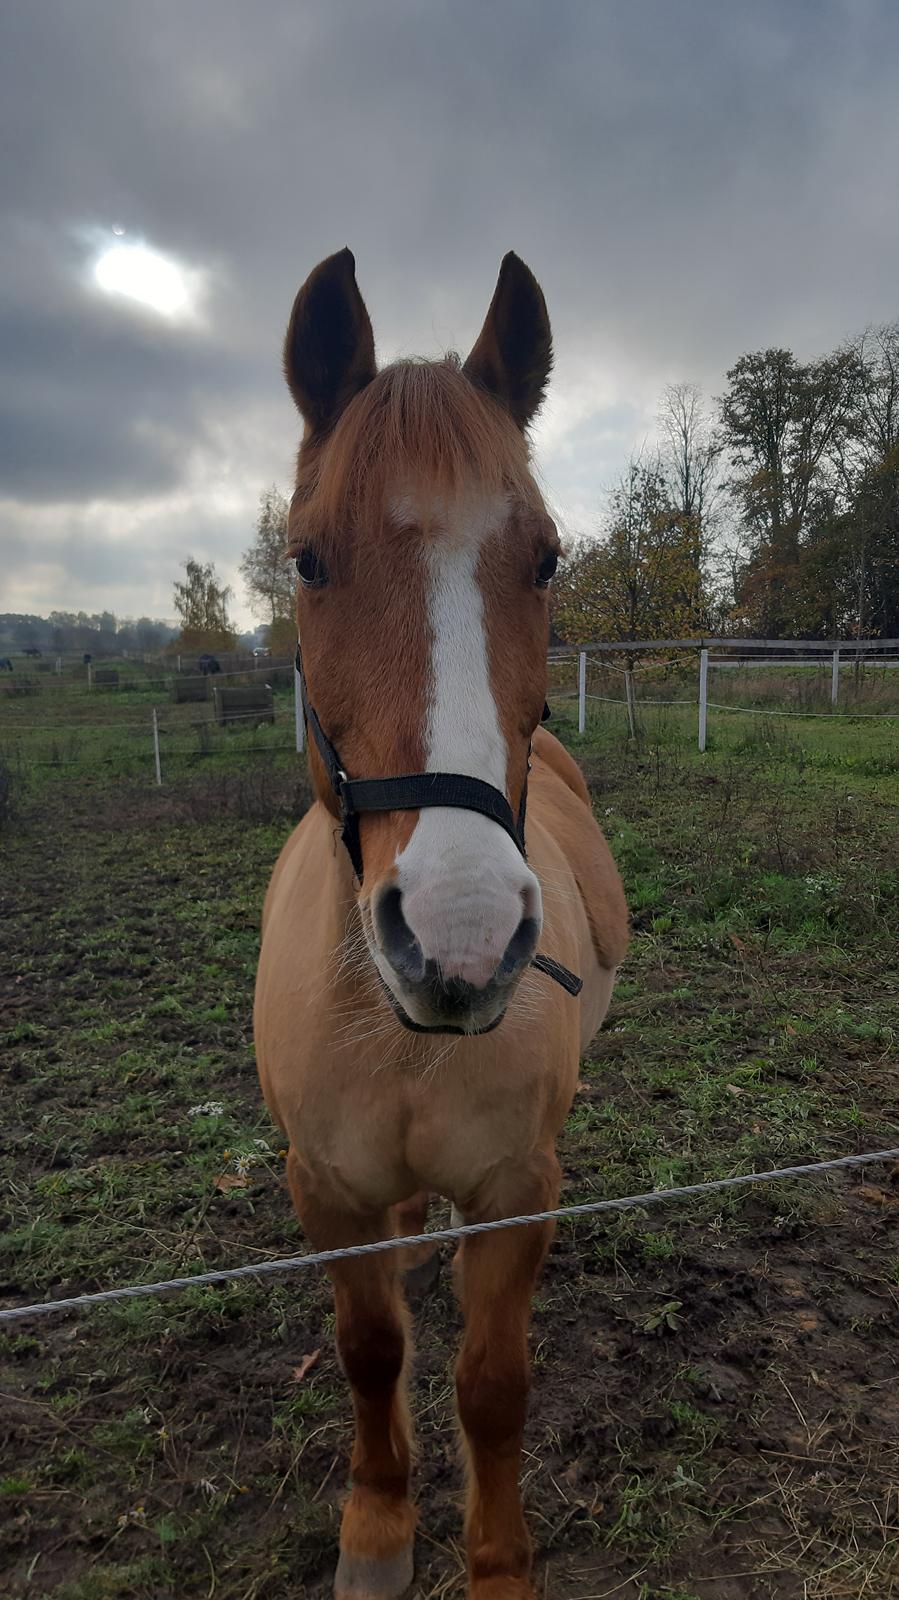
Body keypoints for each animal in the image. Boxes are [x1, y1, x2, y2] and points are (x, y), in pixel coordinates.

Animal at [254, 249, 629, 1600]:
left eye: (546, 558)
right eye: (307, 560)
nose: (459, 933)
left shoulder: (517, 1191)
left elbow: (490, 1386)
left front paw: (496, 1563)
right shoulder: (323, 1190)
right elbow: (372, 1350)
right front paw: (376, 1531)